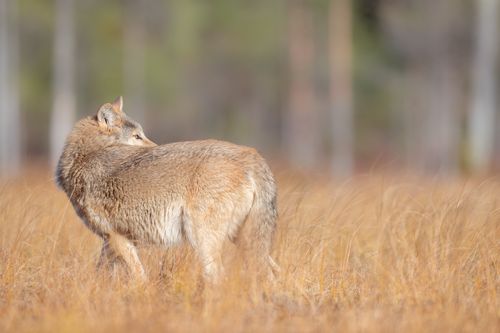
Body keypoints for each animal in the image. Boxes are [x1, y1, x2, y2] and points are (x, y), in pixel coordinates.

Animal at [56, 97, 280, 282]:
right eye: (137, 136)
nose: (156, 147)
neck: (86, 156)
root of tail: (252, 156)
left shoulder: (116, 236)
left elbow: (139, 276)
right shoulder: (114, 241)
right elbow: (103, 272)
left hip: (202, 239)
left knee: (218, 275)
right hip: (245, 240)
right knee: (273, 271)